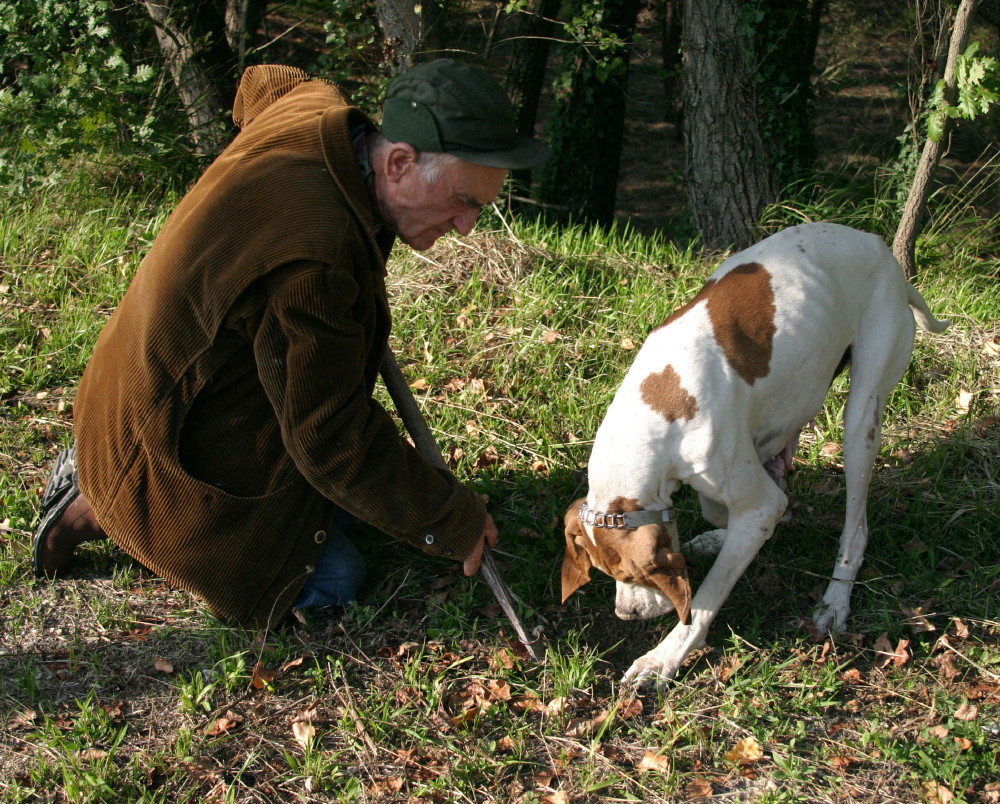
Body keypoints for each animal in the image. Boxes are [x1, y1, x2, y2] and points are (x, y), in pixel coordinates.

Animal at [568, 223, 948, 688]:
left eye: (632, 576)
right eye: (607, 575)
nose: (627, 613)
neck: (657, 405)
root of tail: (885, 255)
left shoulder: (751, 494)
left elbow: (706, 598)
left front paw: (663, 659)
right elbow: (725, 509)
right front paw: (729, 533)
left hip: (861, 419)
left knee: (855, 527)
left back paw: (836, 599)